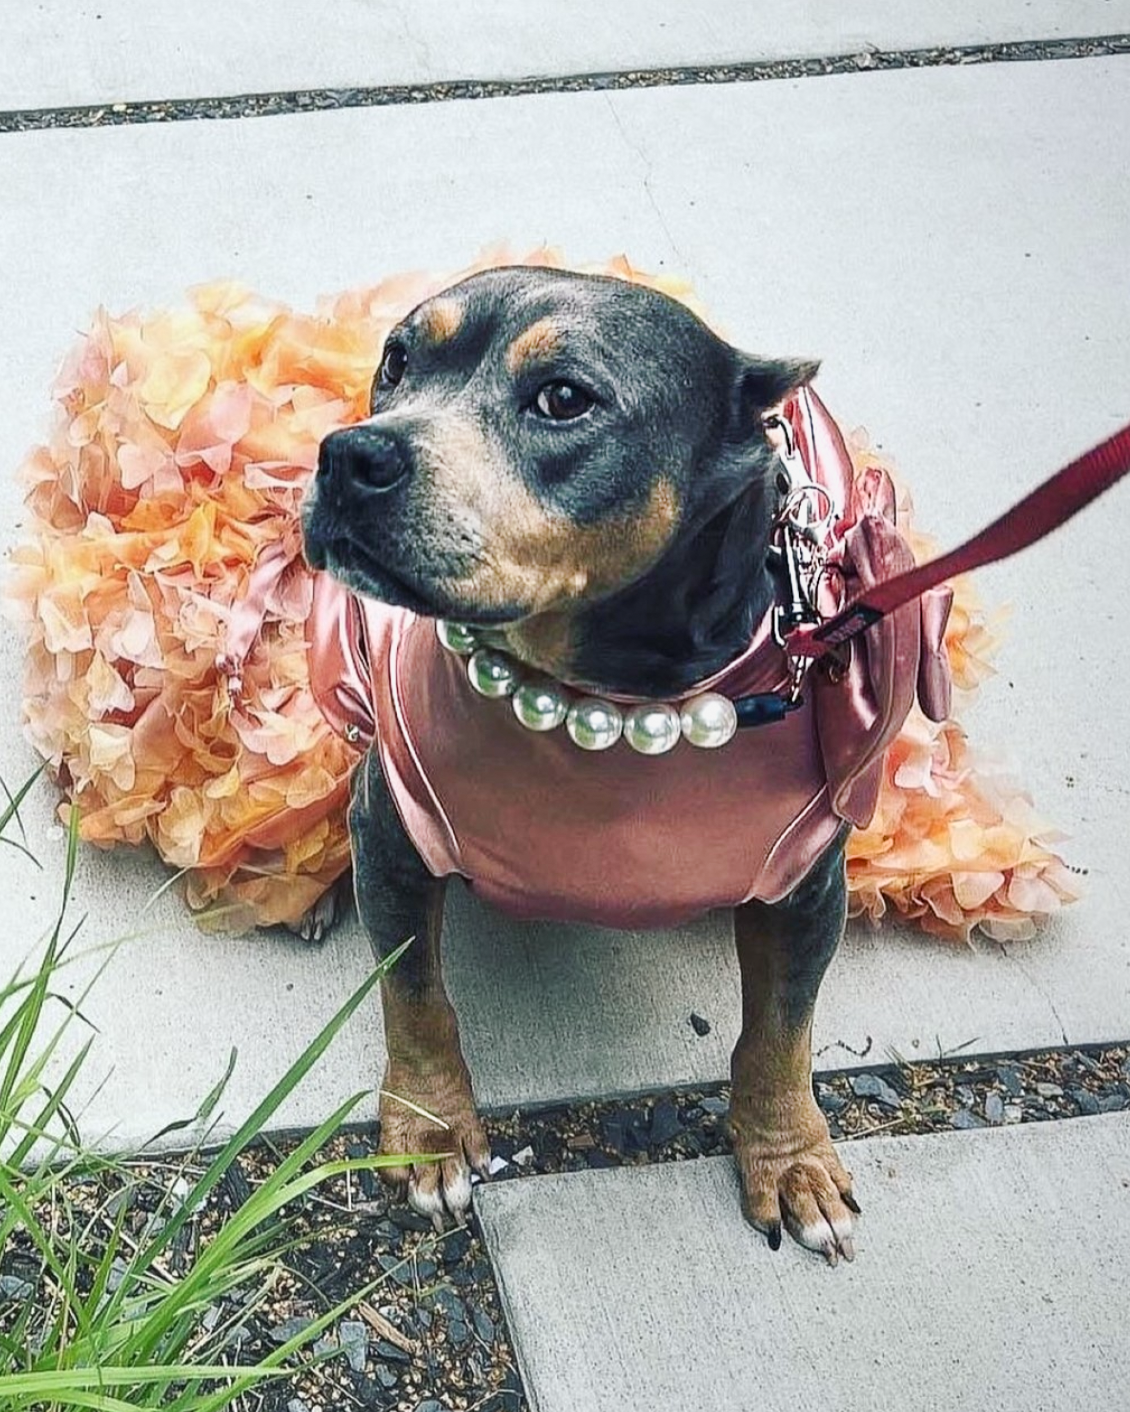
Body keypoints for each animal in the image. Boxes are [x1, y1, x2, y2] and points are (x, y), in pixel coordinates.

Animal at [299, 266, 937, 1270]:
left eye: (564, 399)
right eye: (397, 360)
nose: (350, 455)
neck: (603, 704)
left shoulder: (808, 890)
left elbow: (782, 1032)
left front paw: (791, 1157)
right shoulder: (395, 833)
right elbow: (416, 993)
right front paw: (431, 1129)